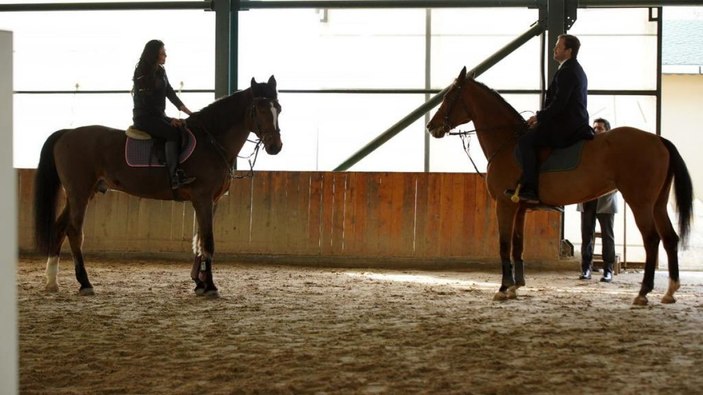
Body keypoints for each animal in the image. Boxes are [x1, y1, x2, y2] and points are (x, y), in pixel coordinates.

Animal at [32, 76, 280, 296]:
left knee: (59, 227)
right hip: (79, 192)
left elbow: (200, 240)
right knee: (74, 231)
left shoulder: (212, 201)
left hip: (81, 193)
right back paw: (85, 283)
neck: (211, 141)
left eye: (278, 107)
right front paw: (209, 286)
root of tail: (67, 134)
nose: (275, 146)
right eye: (259, 109)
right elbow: (208, 241)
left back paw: (52, 282)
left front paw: (199, 283)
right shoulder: (203, 198)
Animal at [426, 67, 696, 306]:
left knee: (652, 239)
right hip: (658, 203)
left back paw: (643, 293)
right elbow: (517, 245)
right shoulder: (520, 209)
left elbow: (503, 245)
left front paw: (503, 288)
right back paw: (670, 292)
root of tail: (658, 139)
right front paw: (516, 286)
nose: (431, 127)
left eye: (449, 96)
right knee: (670, 238)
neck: (507, 143)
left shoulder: (504, 206)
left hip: (640, 202)